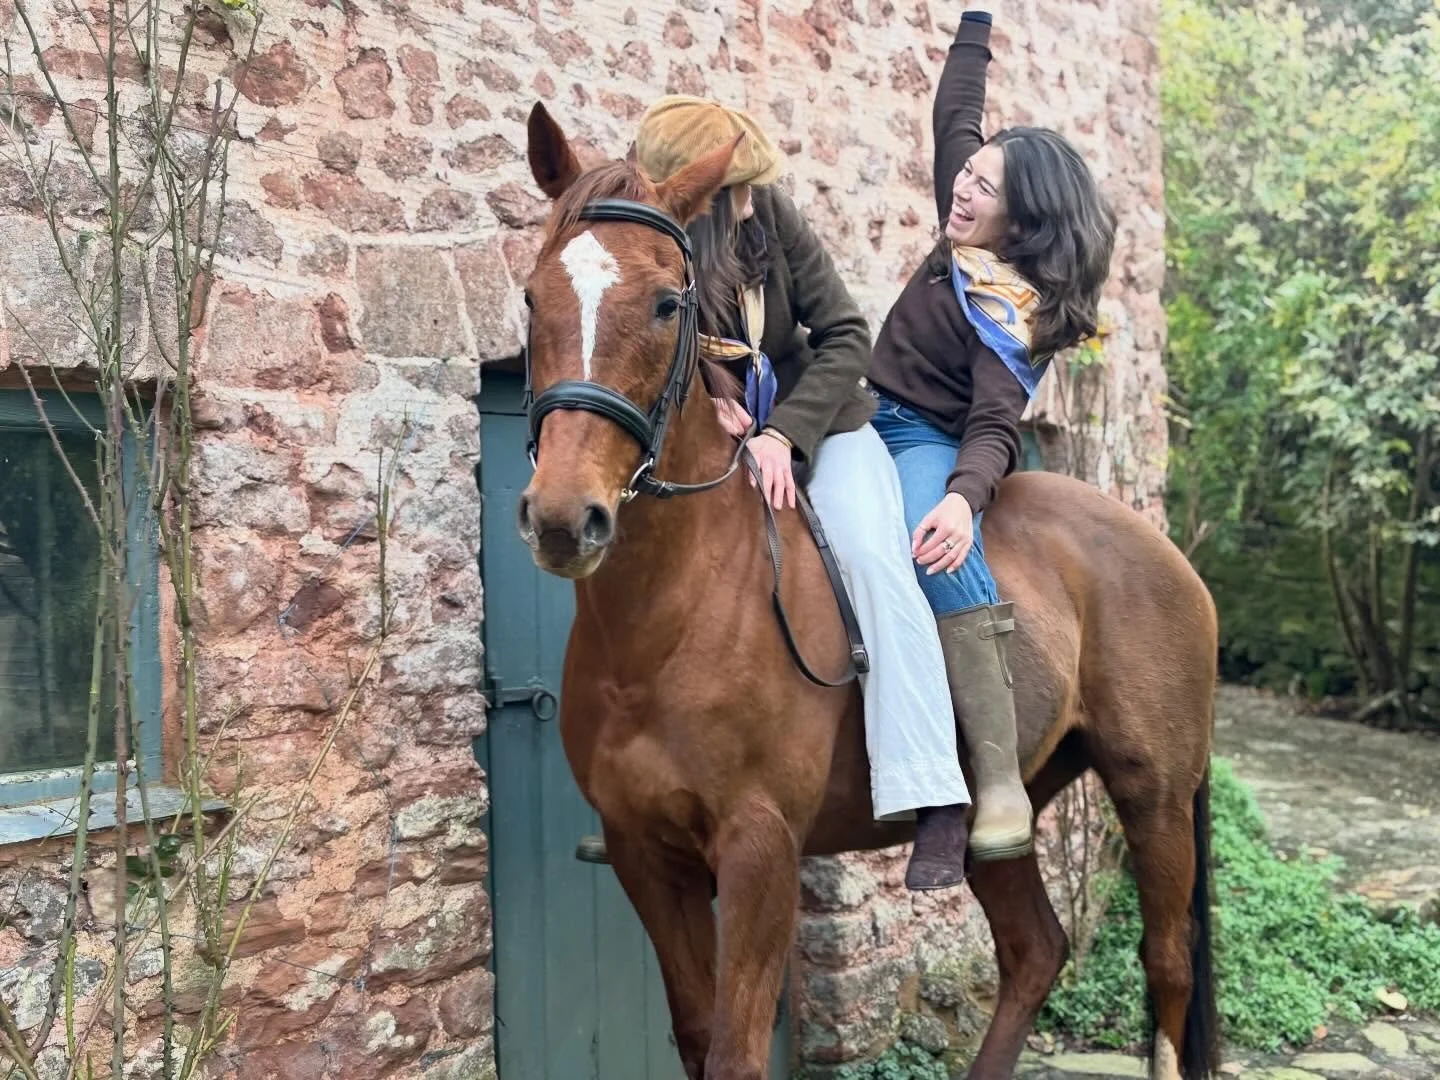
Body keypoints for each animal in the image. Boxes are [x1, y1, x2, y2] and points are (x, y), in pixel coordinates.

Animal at [512, 101, 1220, 1080]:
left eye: (666, 303)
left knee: (1166, 963)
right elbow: (695, 1038)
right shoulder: (643, 854)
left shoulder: (760, 849)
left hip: (1154, 793)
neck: (673, 614)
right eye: (533, 295)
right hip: (1006, 809)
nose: (561, 518)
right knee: (1034, 950)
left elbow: (735, 1050)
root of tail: (1166, 552)